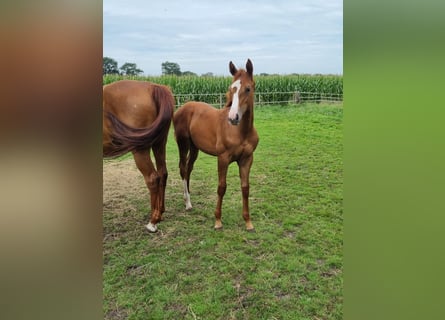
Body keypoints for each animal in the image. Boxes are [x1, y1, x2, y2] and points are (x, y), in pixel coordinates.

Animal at [103, 80, 174, 232]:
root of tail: (154, 87)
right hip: (159, 143)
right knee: (162, 173)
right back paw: (160, 212)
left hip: (140, 149)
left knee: (152, 178)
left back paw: (153, 221)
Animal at [173, 59, 258, 230]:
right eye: (231, 88)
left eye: (248, 88)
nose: (233, 118)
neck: (241, 132)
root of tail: (182, 108)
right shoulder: (223, 158)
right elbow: (221, 187)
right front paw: (218, 221)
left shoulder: (247, 159)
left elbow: (245, 188)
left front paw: (248, 221)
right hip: (183, 143)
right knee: (183, 168)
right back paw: (188, 203)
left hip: (194, 147)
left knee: (189, 168)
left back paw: (189, 197)